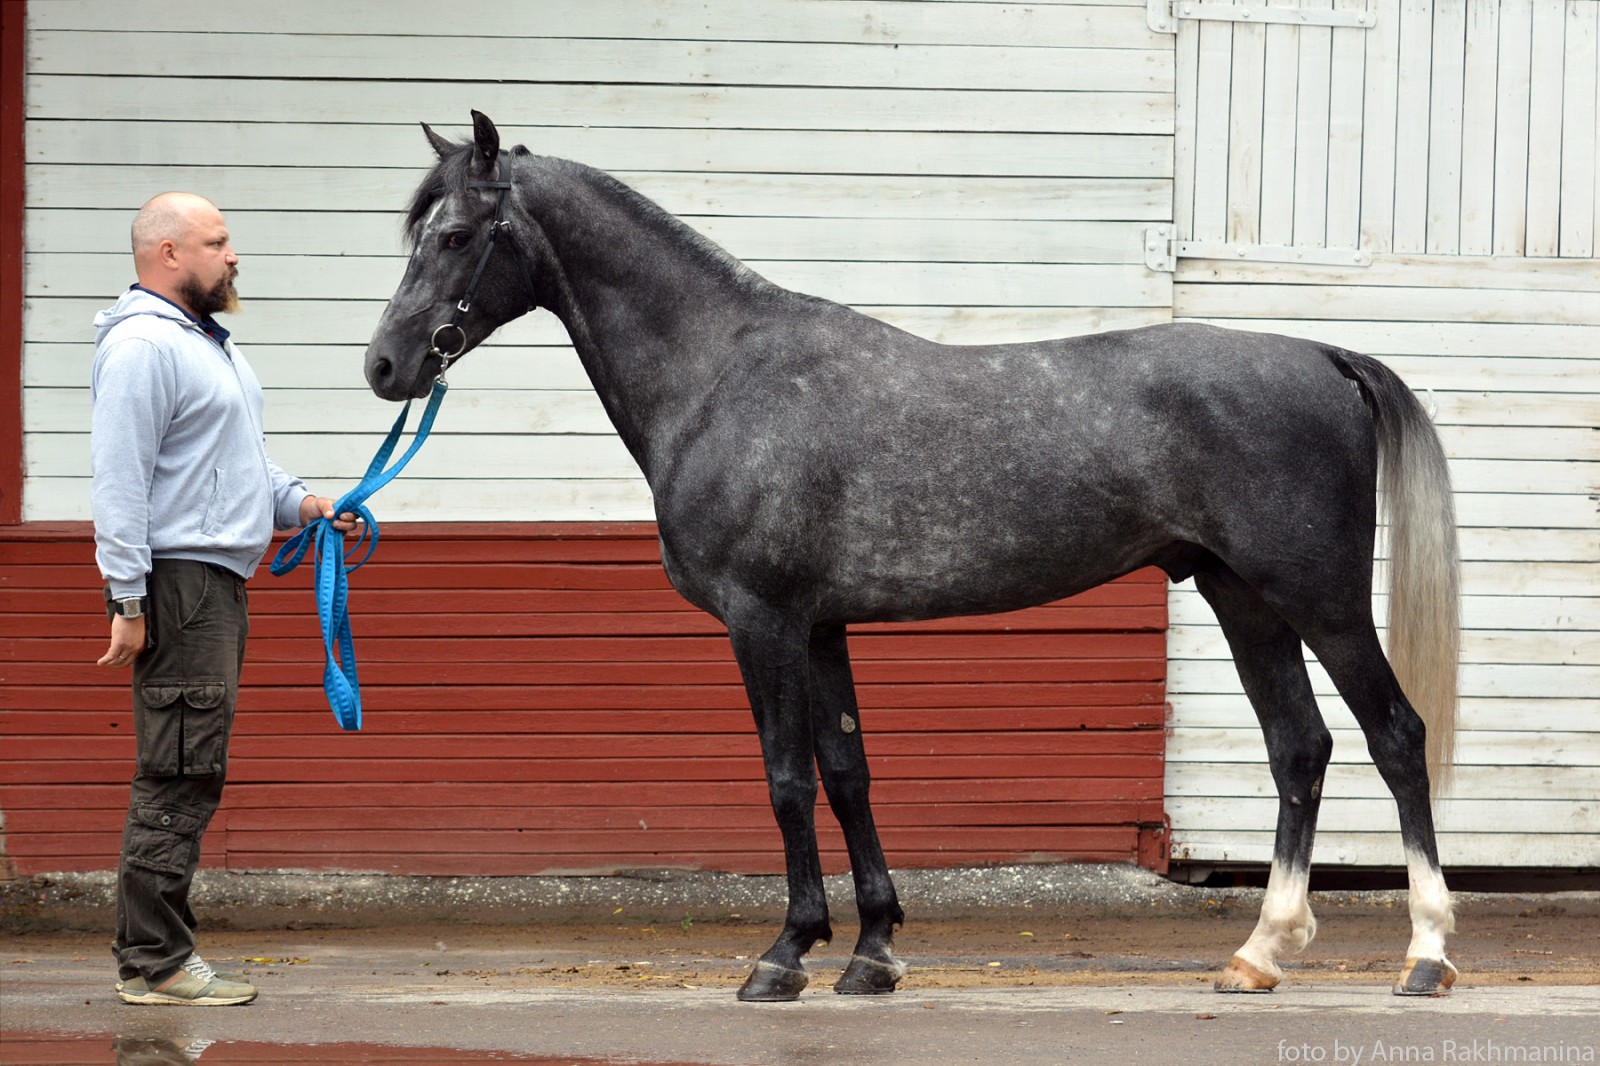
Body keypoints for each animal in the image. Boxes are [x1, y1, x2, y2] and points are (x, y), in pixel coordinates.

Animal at [363, 109, 1465, 998]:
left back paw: (1424, 954)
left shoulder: (763, 619)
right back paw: (1259, 954)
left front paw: (784, 955)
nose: (384, 365)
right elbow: (848, 770)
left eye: (454, 235)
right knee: (1299, 749)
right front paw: (872, 951)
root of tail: (1324, 355)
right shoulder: (821, 626)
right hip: (1244, 599)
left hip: (1318, 600)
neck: (721, 373)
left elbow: (786, 777)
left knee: (1394, 735)